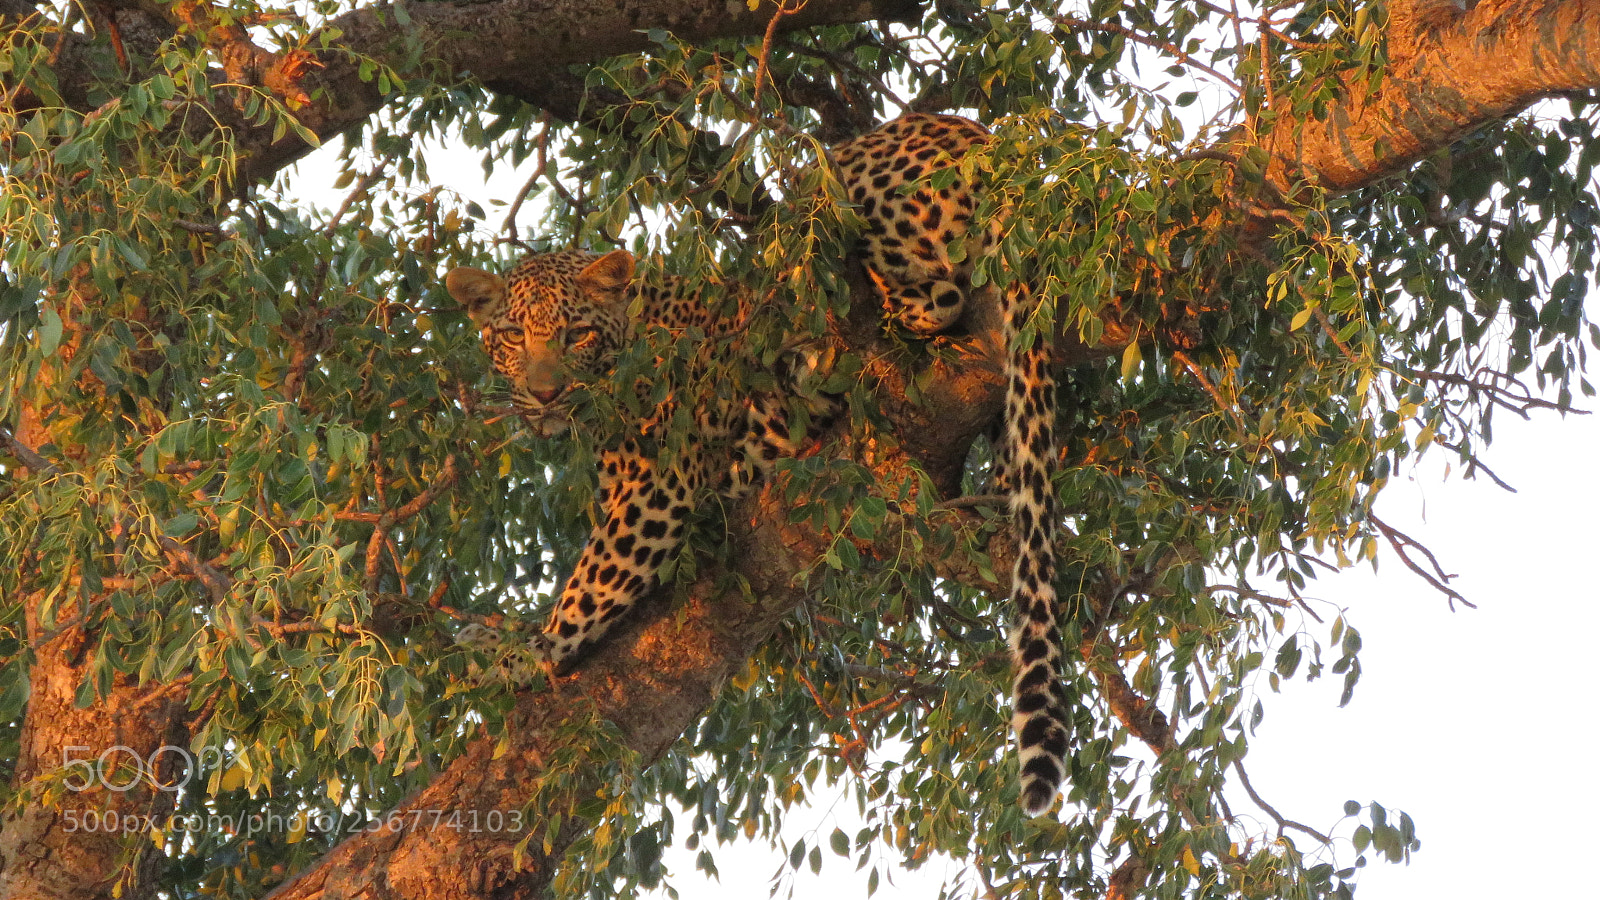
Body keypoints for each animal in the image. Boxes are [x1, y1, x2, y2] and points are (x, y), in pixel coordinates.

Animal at [445, 112, 1068, 816]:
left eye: (576, 334)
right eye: (513, 337)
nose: (547, 394)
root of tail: (985, 141)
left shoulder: (653, 490)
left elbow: (585, 590)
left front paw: (515, 656)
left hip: (837, 195)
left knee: (928, 296)